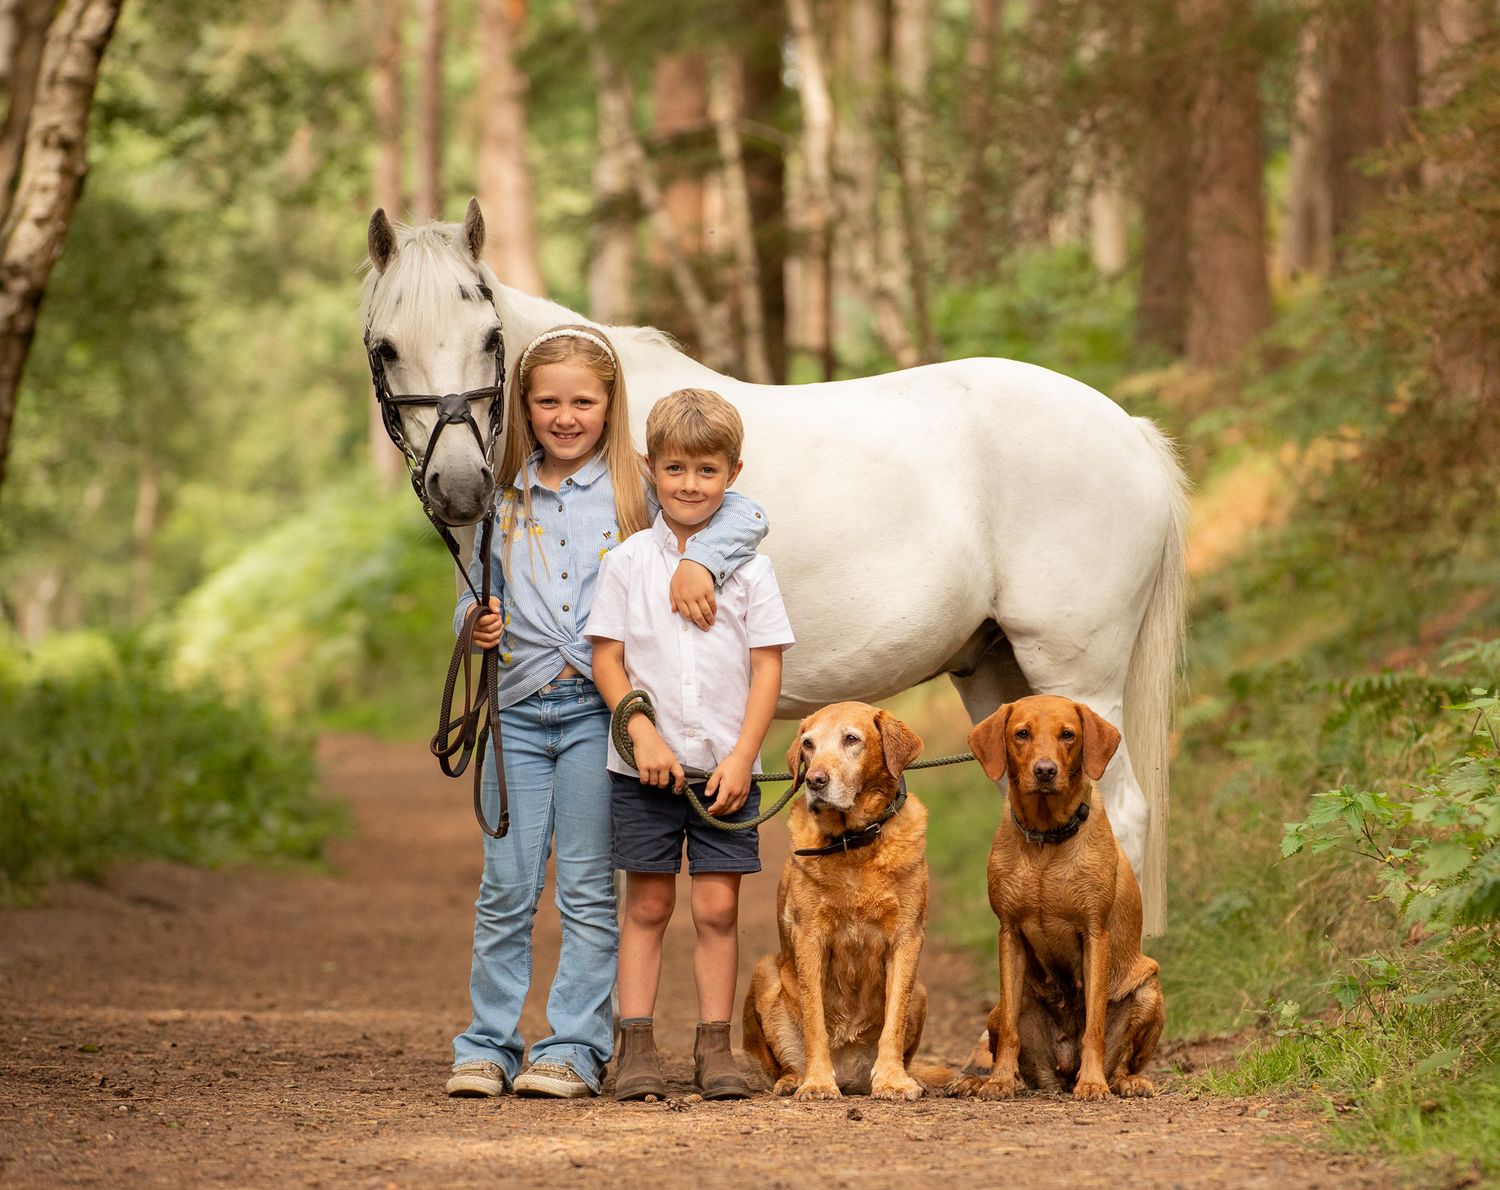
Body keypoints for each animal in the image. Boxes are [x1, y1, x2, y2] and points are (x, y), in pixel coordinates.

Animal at [359, 201, 1188, 936]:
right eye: (386, 347)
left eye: (490, 337)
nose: (460, 484)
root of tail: (1132, 430)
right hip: (1001, 677)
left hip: (1079, 677)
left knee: (1121, 816)